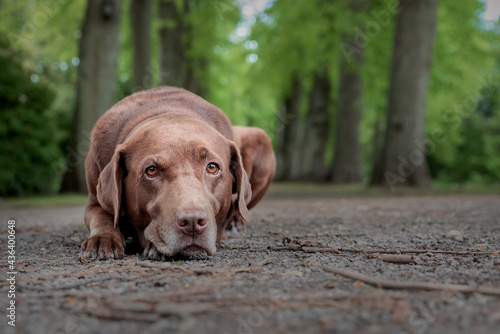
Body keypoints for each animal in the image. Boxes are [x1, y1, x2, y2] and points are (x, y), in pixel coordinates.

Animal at [82, 87, 278, 260]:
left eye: (212, 167)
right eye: (151, 170)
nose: (192, 221)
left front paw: (154, 247)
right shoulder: (94, 199)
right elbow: (102, 215)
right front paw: (103, 238)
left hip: (259, 138)